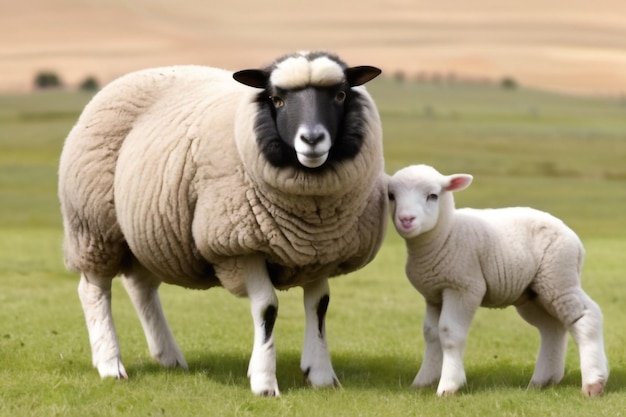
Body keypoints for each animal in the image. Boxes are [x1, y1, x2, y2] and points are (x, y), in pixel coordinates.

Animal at [59, 50, 390, 394]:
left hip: (147, 234)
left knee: (141, 287)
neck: (313, 215)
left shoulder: (319, 251)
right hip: (94, 226)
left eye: (340, 95)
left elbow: (320, 306)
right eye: (276, 99)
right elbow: (267, 308)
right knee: (94, 290)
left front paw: (322, 375)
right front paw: (264, 381)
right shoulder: (240, 247)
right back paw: (110, 364)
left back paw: (169, 356)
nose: (312, 139)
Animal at [388, 163, 608, 396]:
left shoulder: (464, 287)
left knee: (587, 316)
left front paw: (448, 385)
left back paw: (593, 382)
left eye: (433, 195)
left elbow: (449, 333)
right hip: (533, 293)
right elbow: (431, 334)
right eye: (391, 195)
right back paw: (541, 381)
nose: (406, 219)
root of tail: (575, 239)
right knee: (552, 328)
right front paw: (423, 381)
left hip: (558, 276)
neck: (446, 233)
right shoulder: (433, 294)